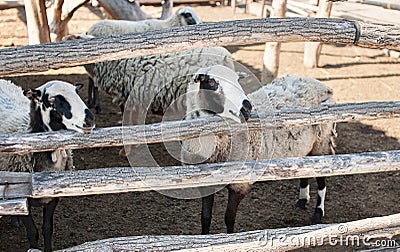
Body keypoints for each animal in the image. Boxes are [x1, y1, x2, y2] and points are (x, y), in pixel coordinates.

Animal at [0, 79, 95, 251]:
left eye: (76, 93)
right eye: (52, 100)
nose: (90, 119)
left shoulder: (53, 197)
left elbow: (47, 229)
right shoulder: (24, 199)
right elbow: (33, 232)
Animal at [180, 71, 334, 234]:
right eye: (211, 82)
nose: (247, 107)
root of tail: (319, 84)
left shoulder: (239, 184)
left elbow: (229, 217)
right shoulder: (206, 184)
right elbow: (205, 217)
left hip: (321, 143)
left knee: (322, 180)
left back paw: (318, 213)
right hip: (304, 147)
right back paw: (302, 201)